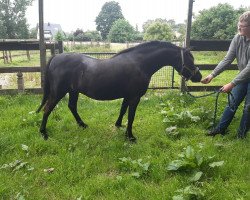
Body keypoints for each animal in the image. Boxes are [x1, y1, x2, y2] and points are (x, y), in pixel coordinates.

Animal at [36, 40, 201, 141]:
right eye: (190, 59)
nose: (198, 76)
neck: (140, 63)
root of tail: (56, 57)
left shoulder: (128, 96)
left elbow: (123, 110)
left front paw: (119, 125)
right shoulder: (135, 97)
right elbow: (131, 116)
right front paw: (130, 136)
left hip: (73, 91)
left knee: (72, 107)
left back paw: (82, 125)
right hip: (58, 92)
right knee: (47, 109)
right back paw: (43, 133)